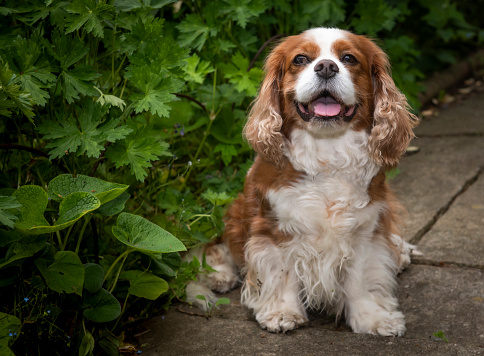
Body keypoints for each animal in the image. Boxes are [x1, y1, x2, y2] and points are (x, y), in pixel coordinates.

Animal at [187, 27, 418, 336]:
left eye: (349, 58)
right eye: (300, 59)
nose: (327, 67)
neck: (328, 155)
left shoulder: (365, 230)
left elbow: (360, 280)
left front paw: (372, 318)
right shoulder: (274, 228)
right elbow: (282, 272)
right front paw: (282, 313)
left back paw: (400, 253)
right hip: (236, 211)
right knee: (223, 244)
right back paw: (219, 275)